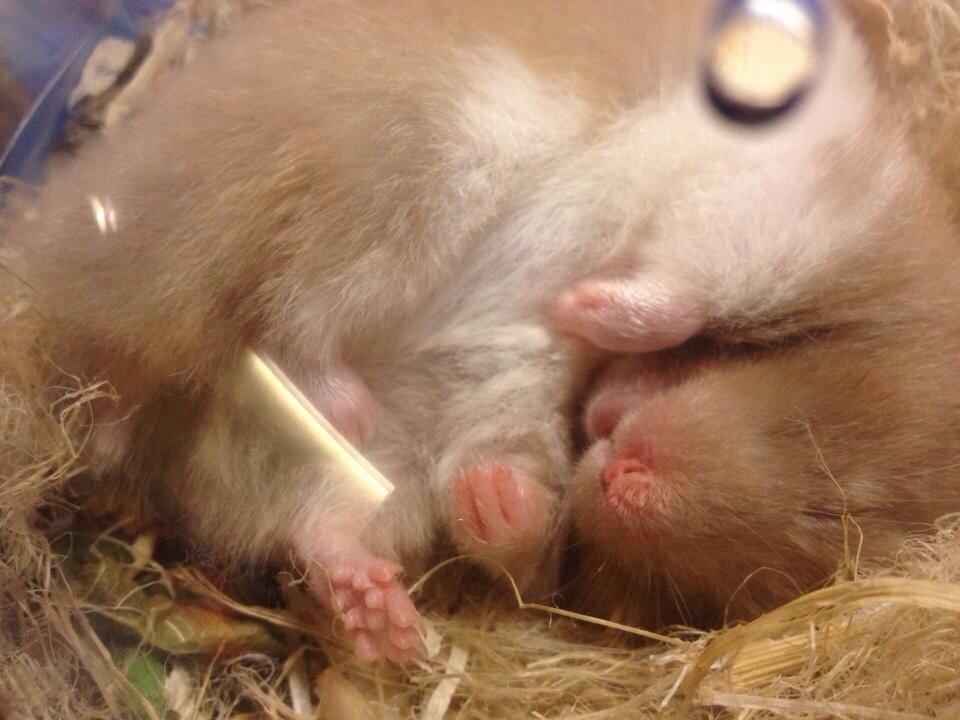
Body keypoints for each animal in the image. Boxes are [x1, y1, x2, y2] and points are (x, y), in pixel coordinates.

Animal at [3, 0, 929, 659]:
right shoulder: (766, 207)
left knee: (329, 517)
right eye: (823, 500)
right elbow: (680, 287)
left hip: (416, 433)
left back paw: (399, 598)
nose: (624, 462)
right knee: (288, 313)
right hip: (415, 169)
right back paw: (358, 399)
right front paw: (587, 307)